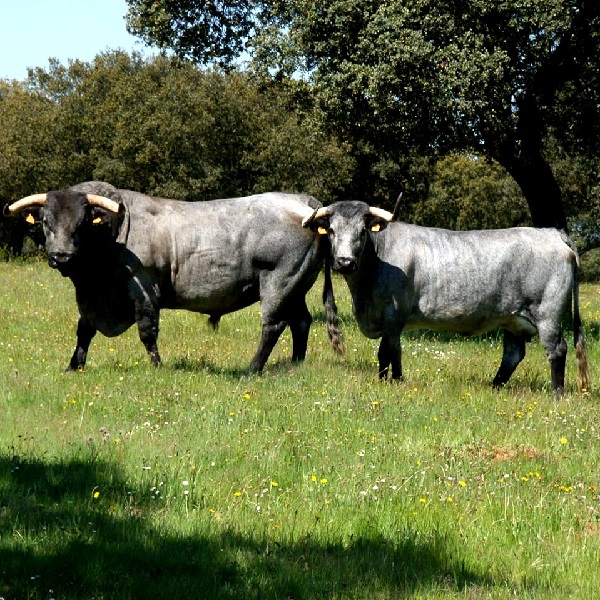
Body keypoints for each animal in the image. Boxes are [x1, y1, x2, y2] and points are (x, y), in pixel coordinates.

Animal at [5, 180, 342, 372]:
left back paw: (253, 368)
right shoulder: (93, 299)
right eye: (46, 222)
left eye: (81, 224)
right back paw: (296, 363)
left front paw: (157, 366)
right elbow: (84, 331)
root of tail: (304, 202)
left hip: (278, 284)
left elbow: (147, 331)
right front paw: (74, 366)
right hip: (296, 287)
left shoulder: (143, 291)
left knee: (274, 326)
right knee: (301, 322)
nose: (61, 256)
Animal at [304, 202, 592, 394]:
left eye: (362, 231)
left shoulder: (393, 316)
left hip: (548, 314)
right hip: (513, 318)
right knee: (513, 354)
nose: (344, 262)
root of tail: (552, 232)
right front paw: (389, 380)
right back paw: (494, 386)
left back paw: (556, 393)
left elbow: (387, 352)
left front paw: (392, 382)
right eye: (331, 231)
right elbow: (391, 353)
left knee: (557, 349)